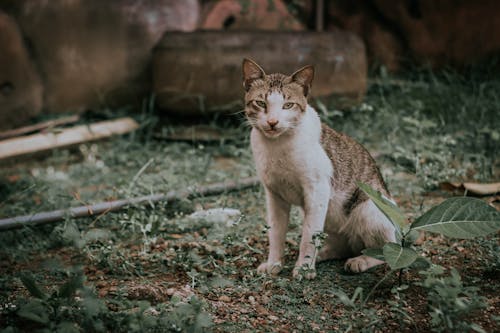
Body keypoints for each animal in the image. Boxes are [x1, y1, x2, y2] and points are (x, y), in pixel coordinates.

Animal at [242, 57, 394, 278]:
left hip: (366, 207)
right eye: (261, 103)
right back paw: (323, 254)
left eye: (288, 105)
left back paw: (361, 260)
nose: (272, 122)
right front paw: (274, 263)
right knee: (341, 246)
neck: (277, 145)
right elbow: (276, 232)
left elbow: (308, 234)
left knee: (386, 248)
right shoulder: (274, 194)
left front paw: (304, 268)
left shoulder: (317, 190)